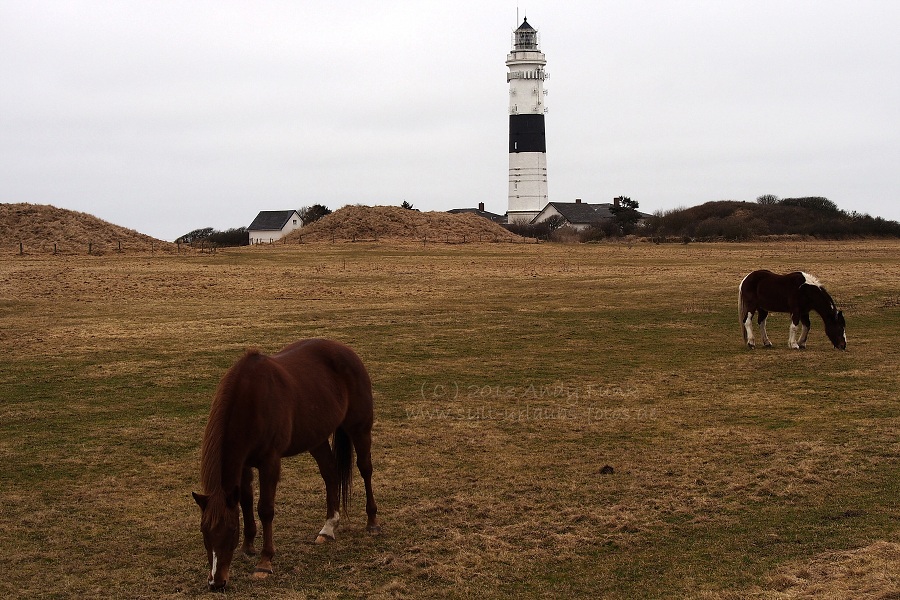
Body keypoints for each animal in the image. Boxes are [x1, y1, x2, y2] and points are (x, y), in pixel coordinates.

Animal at [192, 338, 380, 592]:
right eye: (204, 531)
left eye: (231, 530)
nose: (216, 582)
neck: (251, 400)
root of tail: (346, 351)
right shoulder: (244, 464)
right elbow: (246, 500)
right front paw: (248, 546)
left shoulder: (270, 462)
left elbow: (265, 509)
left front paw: (264, 562)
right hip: (316, 438)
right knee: (330, 473)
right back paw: (328, 528)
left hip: (360, 428)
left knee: (365, 469)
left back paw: (372, 522)